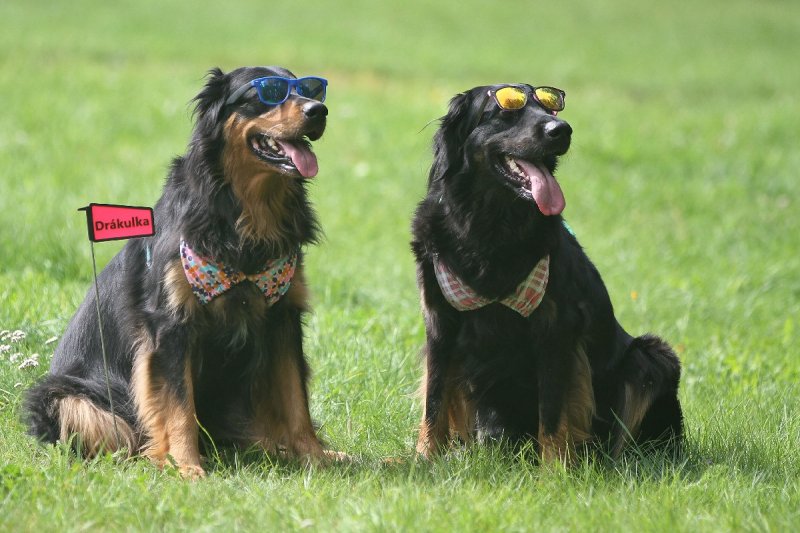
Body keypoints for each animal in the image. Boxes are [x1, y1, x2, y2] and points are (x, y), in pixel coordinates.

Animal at [24, 64, 332, 476]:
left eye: (313, 90)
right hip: (63, 397)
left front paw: (316, 456)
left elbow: (296, 398)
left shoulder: (282, 317)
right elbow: (178, 406)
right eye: (268, 92)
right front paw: (185, 467)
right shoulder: (169, 325)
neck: (243, 215)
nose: (320, 111)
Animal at [412, 83, 680, 462]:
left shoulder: (557, 329)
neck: (491, 227)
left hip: (654, 356)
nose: (562, 129)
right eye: (506, 109)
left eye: (550, 109)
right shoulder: (440, 323)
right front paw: (425, 459)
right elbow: (433, 402)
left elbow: (552, 412)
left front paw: (555, 470)